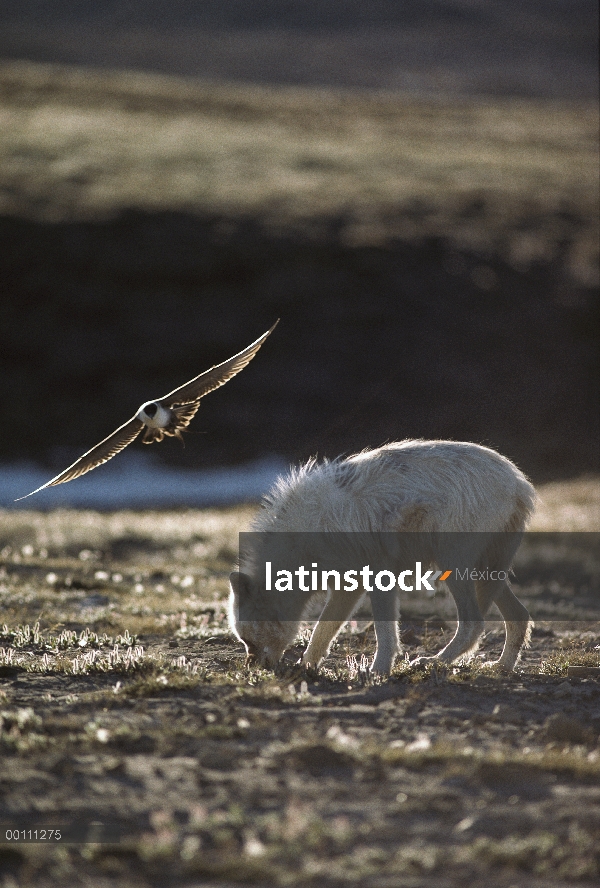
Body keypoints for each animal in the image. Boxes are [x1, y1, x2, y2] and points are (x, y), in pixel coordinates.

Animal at [229, 440, 536, 676]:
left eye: (248, 640)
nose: (253, 669)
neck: (300, 544)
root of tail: (520, 483)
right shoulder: (349, 588)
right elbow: (322, 632)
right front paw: (307, 667)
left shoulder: (375, 578)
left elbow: (382, 634)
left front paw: (378, 671)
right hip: (485, 573)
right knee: (519, 616)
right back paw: (501, 668)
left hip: (455, 568)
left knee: (474, 624)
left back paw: (432, 662)